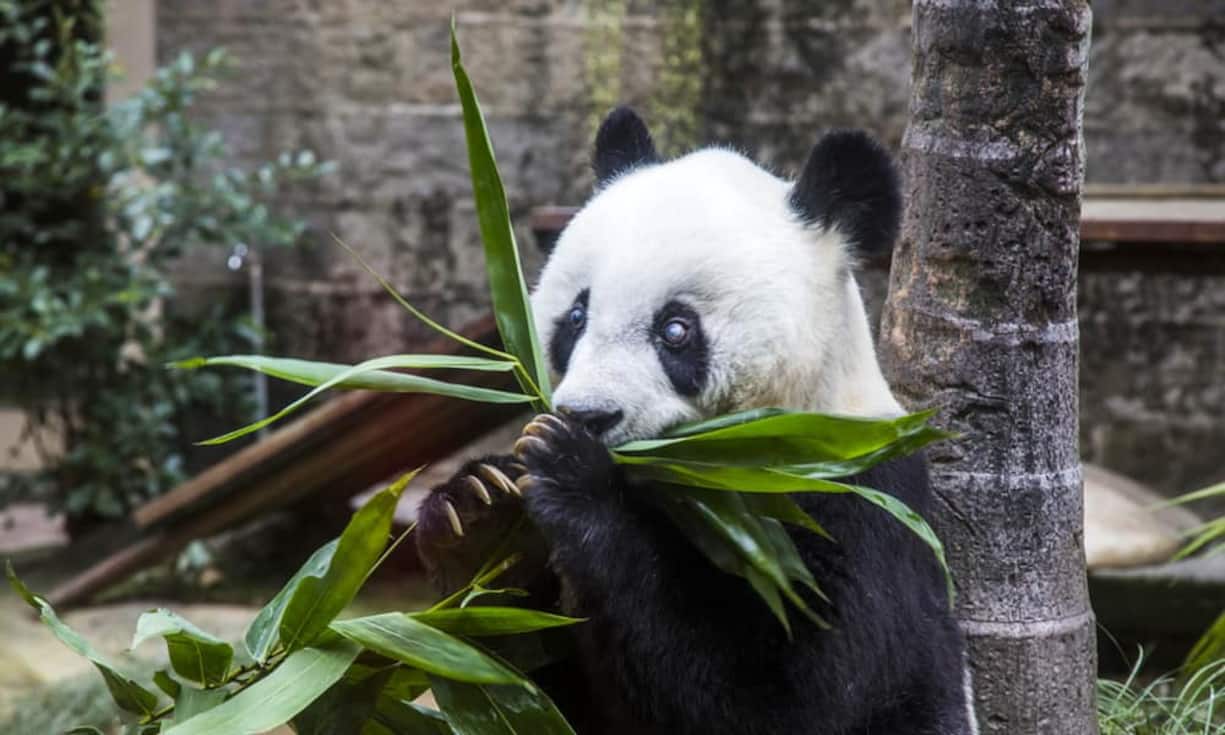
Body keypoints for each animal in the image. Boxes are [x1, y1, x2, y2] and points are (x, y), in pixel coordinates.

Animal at [416, 107, 978, 735]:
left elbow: (783, 701)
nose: (588, 415)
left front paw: (572, 474)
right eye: (576, 317)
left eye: (676, 329)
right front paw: (478, 509)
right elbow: (513, 675)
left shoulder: (858, 503)